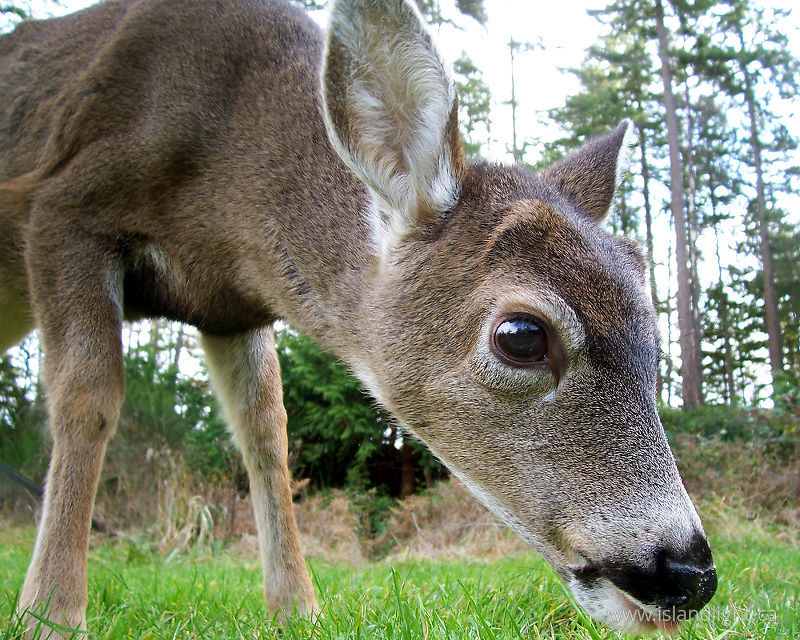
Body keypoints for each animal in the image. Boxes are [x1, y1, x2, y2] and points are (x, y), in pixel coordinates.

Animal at [0, 0, 717, 635]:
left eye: (653, 335)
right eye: (521, 336)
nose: (689, 573)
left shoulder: (229, 308)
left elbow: (266, 434)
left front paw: (298, 611)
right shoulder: (63, 207)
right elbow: (89, 400)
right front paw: (50, 615)